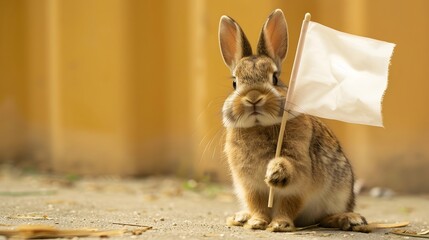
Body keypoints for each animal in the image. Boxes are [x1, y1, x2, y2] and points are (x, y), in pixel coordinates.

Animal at [217, 9, 368, 232]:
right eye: (235, 83)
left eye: (275, 78)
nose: (253, 98)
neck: (260, 126)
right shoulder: (249, 185)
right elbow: (257, 204)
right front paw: (256, 222)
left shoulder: (299, 179)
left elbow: (287, 204)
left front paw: (280, 223)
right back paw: (241, 217)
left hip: (340, 189)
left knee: (325, 217)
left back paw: (350, 219)